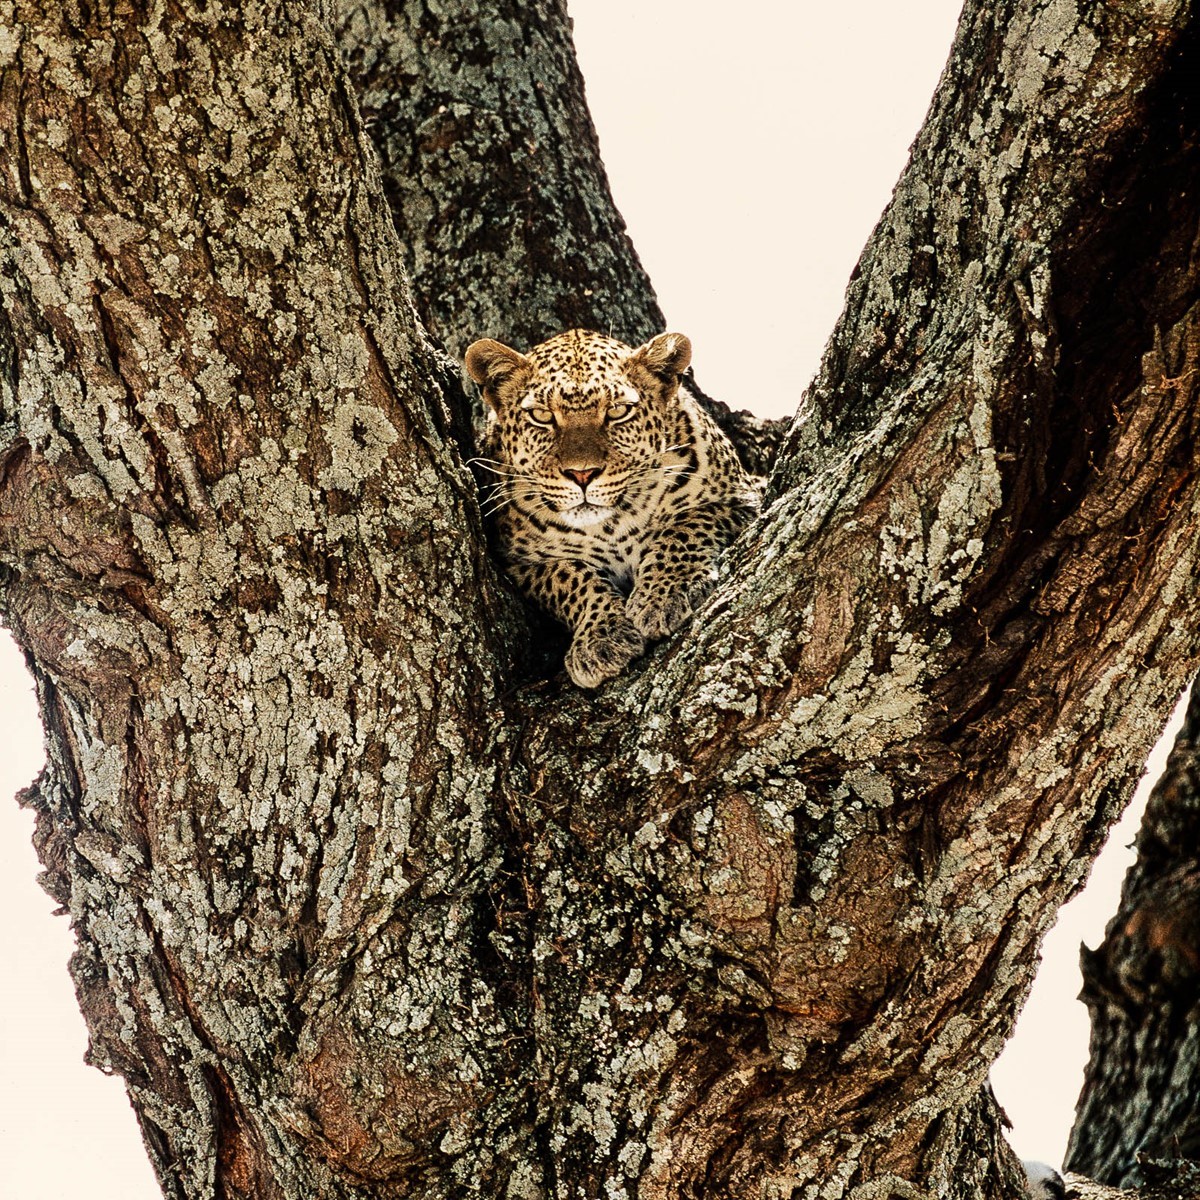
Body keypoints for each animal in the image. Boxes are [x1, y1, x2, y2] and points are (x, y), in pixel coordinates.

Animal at [465, 328, 764, 688]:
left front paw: (663, 595)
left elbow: (685, 528)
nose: (582, 474)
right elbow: (569, 577)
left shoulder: (744, 496)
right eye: (542, 416)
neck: (610, 526)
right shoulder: (519, 563)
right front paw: (601, 637)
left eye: (618, 411)